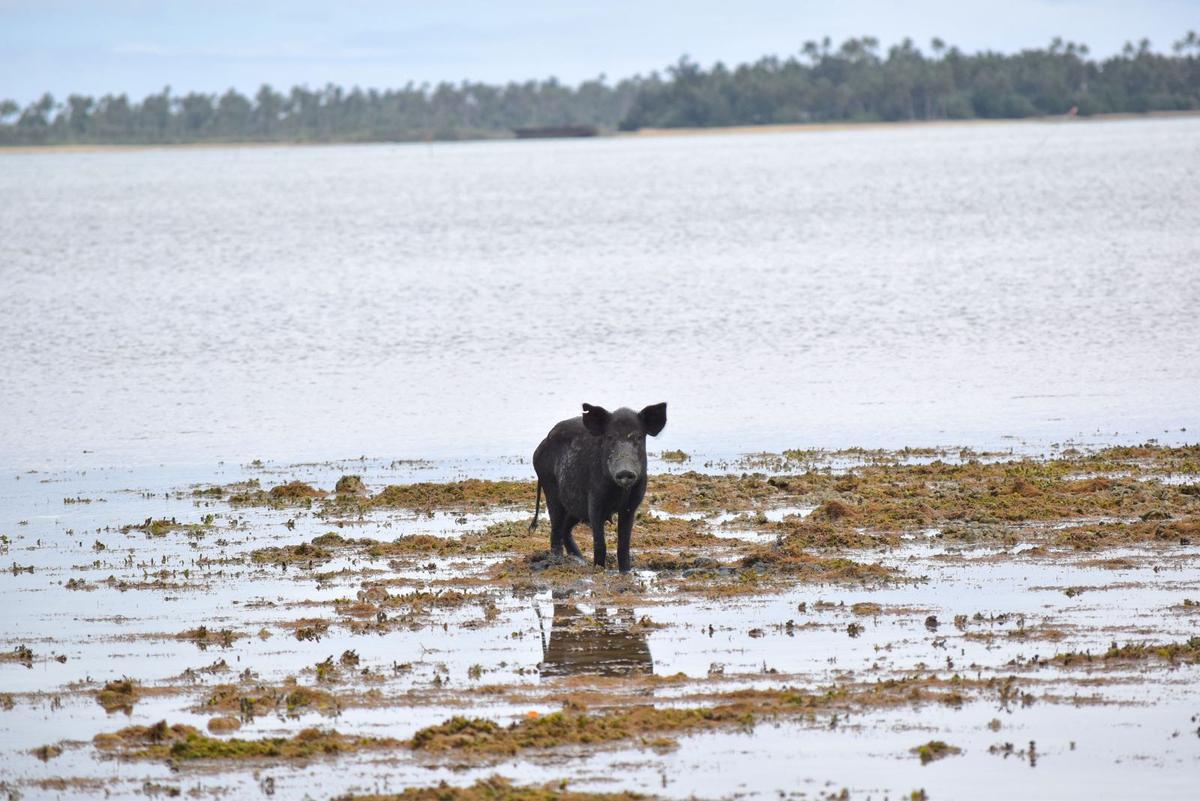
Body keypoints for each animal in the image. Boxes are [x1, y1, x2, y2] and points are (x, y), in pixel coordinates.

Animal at [530, 402, 667, 572]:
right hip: (550, 488)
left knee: (565, 530)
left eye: (639, 437)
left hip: (574, 507)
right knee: (555, 530)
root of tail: (539, 449)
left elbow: (624, 544)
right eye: (610, 437)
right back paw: (558, 562)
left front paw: (625, 571)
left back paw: (580, 560)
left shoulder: (631, 505)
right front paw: (599, 569)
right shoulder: (594, 500)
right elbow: (600, 543)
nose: (625, 472)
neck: (618, 492)